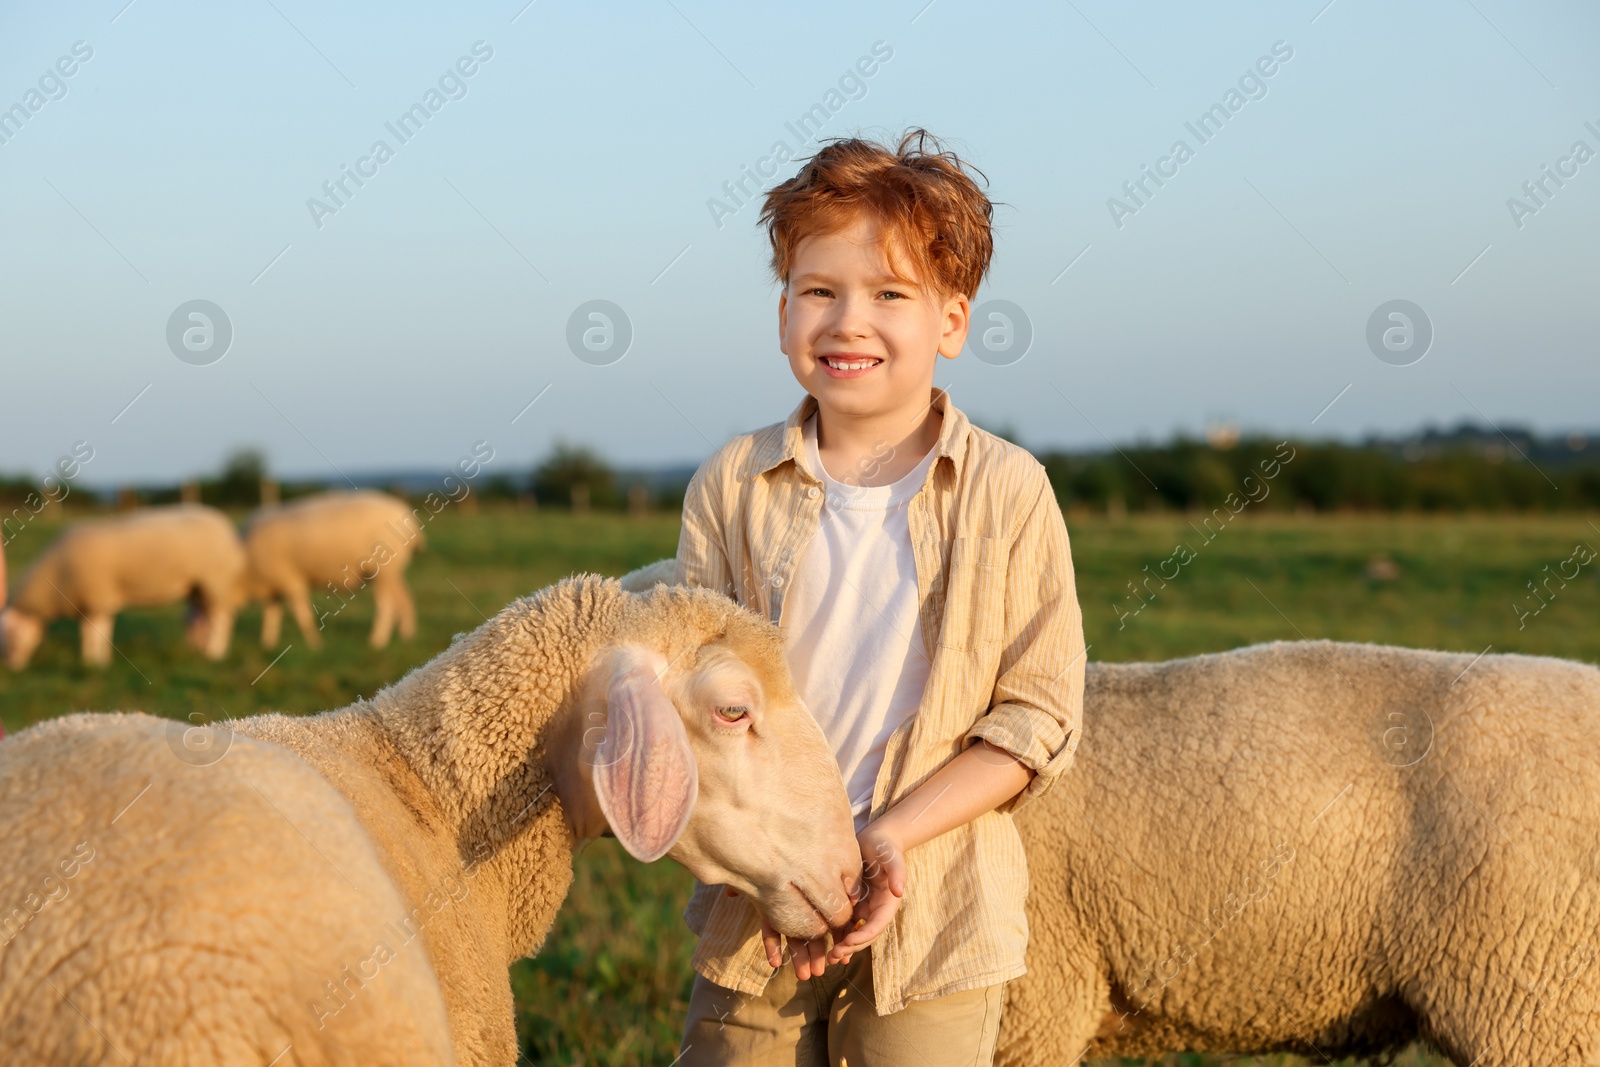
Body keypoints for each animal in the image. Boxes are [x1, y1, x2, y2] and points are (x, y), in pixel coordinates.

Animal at [0, 502, 246, 668]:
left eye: (9, 634)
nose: (11, 667)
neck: (58, 573)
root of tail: (225, 527)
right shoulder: (98, 601)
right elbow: (100, 632)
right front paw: (101, 660)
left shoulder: (96, 597)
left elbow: (92, 634)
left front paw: (92, 662)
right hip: (198, 588)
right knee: (203, 617)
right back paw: (199, 650)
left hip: (215, 580)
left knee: (221, 621)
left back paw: (215, 653)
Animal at [236, 489, 422, 652]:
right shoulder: (275, 586)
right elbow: (272, 616)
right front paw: (268, 644)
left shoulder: (289, 581)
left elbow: (301, 615)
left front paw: (314, 644)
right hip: (393, 572)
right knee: (405, 599)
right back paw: (407, 635)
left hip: (384, 571)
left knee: (387, 606)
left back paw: (377, 641)